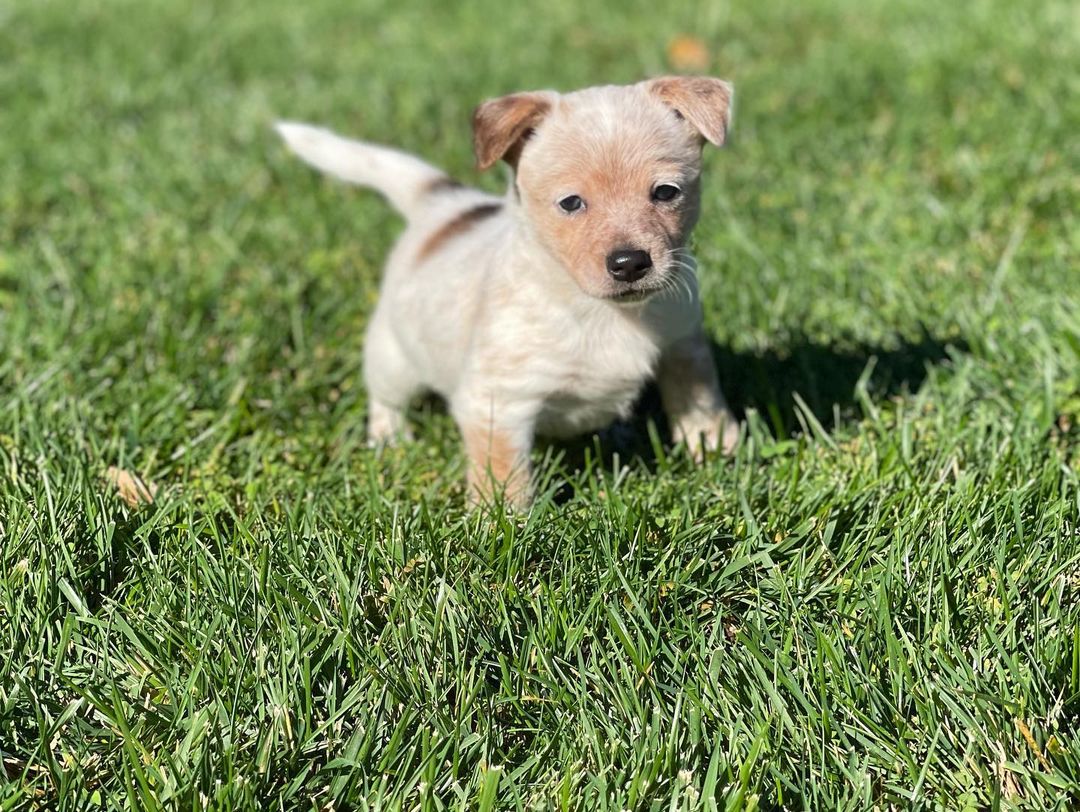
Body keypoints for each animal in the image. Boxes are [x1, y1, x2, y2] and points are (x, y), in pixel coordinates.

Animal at [274, 77, 738, 507]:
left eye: (665, 192)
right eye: (571, 203)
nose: (629, 263)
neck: (600, 313)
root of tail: (443, 207)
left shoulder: (683, 344)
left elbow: (700, 400)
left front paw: (719, 451)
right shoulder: (497, 400)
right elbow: (501, 472)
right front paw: (500, 523)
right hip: (392, 357)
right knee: (386, 400)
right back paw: (391, 441)